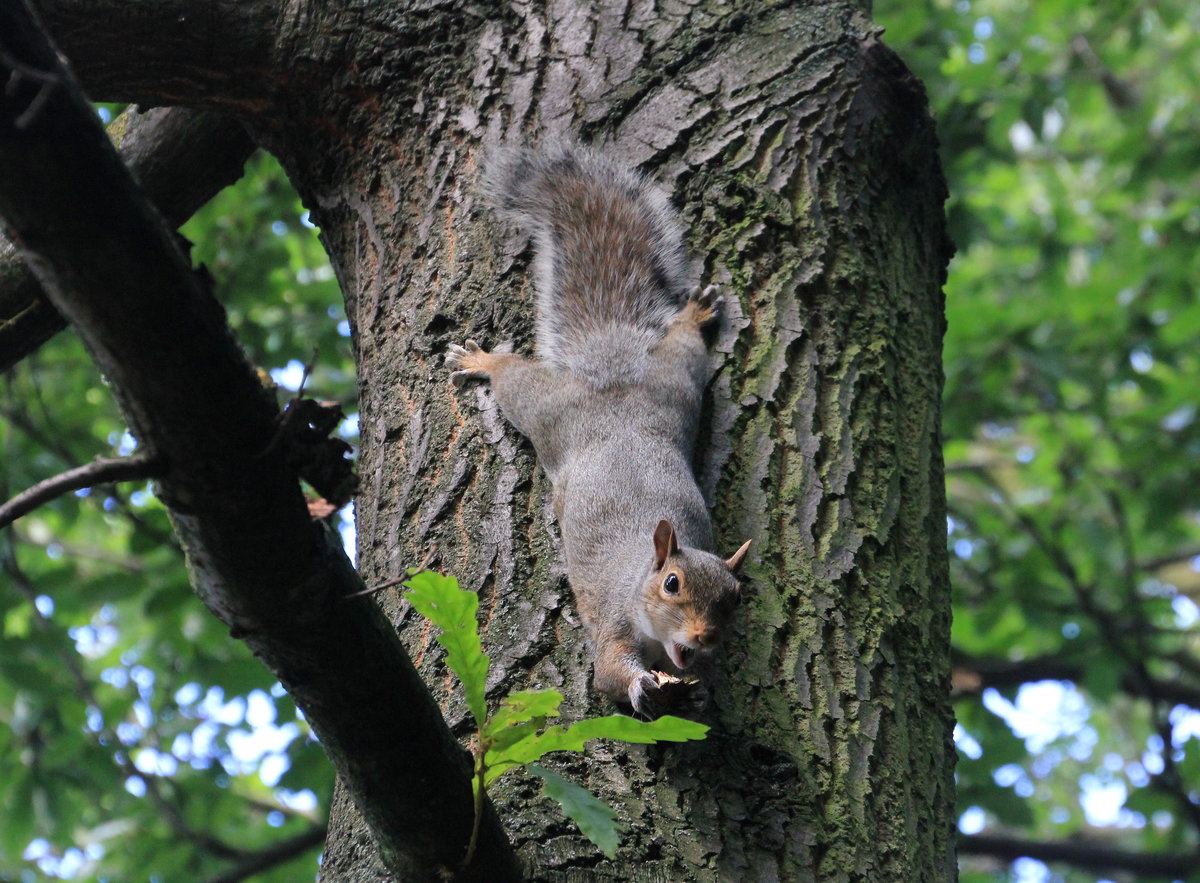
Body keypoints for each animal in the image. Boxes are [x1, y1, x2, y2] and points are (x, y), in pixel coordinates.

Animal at [448, 145, 748, 719]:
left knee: (684, 343)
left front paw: (699, 694)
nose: (705, 637)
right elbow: (607, 675)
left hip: (675, 381)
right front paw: (639, 686)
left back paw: (694, 316)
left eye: (735, 597)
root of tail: (612, 380)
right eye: (671, 584)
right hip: (548, 408)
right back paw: (483, 361)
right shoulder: (613, 621)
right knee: (512, 379)